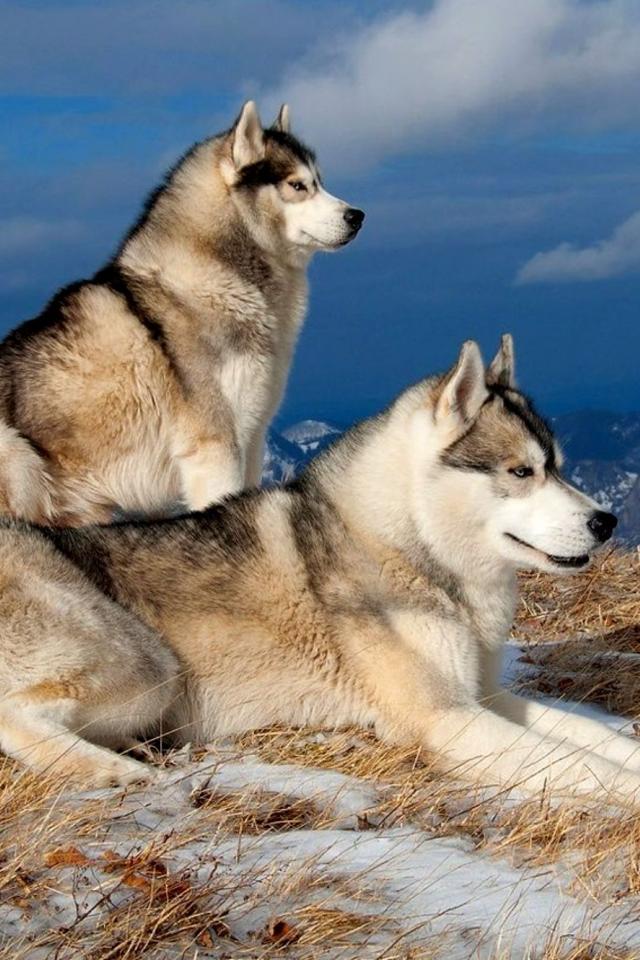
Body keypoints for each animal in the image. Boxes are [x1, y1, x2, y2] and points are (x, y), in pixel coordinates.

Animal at [0, 101, 364, 525]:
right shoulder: (216, 447)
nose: (358, 215)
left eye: (320, 181)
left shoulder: (253, 439)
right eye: (297, 185)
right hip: (18, 458)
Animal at [0, 336, 637, 805]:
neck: (413, 549)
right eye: (521, 472)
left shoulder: (485, 696)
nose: (606, 521)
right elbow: (588, 765)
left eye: (558, 467)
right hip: (152, 668)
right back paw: (112, 771)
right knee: (14, 718)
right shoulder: (448, 719)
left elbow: (595, 735)